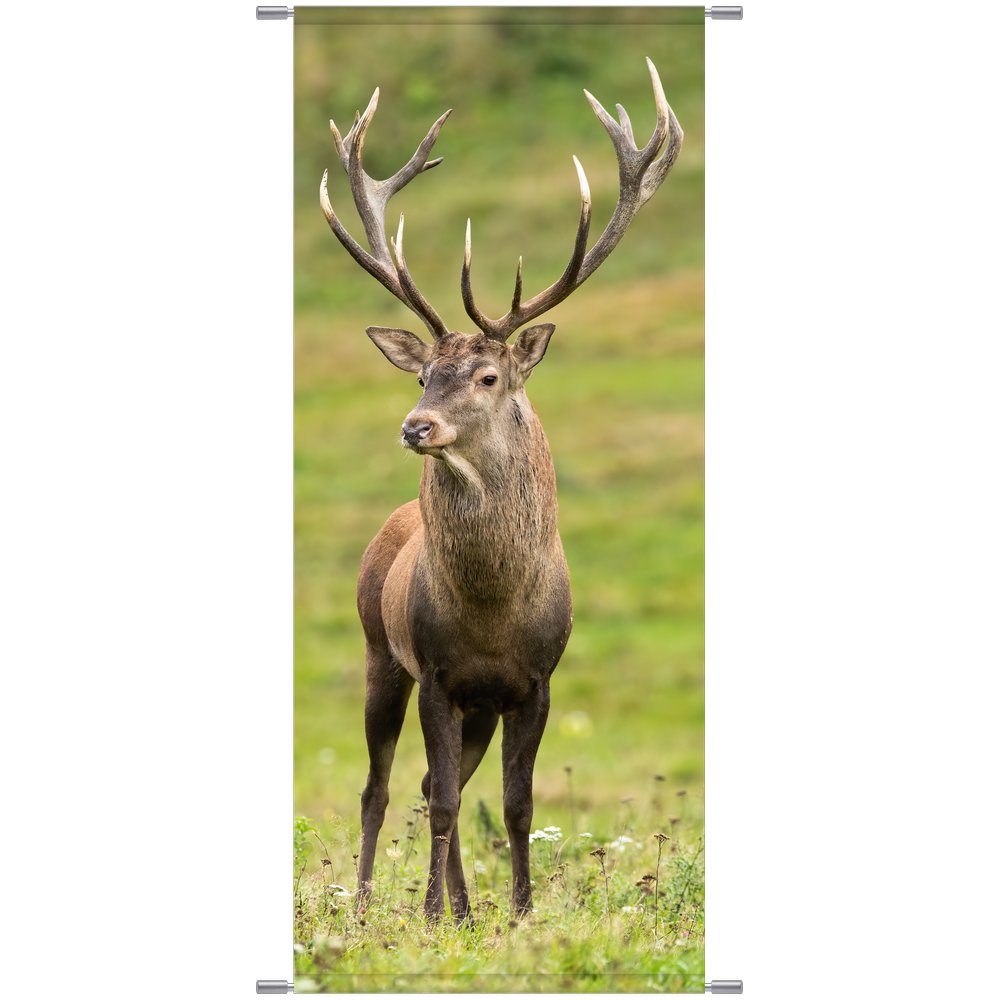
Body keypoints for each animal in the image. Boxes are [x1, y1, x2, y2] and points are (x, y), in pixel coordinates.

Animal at [319, 58, 683, 923]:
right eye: (422, 372)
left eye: (487, 376)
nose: (415, 426)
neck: (490, 611)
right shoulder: (436, 674)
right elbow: (446, 801)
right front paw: (430, 916)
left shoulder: (535, 681)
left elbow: (516, 804)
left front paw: (514, 911)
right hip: (380, 653)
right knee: (383, 788)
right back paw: (373, 904)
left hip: (474, 706)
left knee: (425, 781)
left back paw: (461, 904)